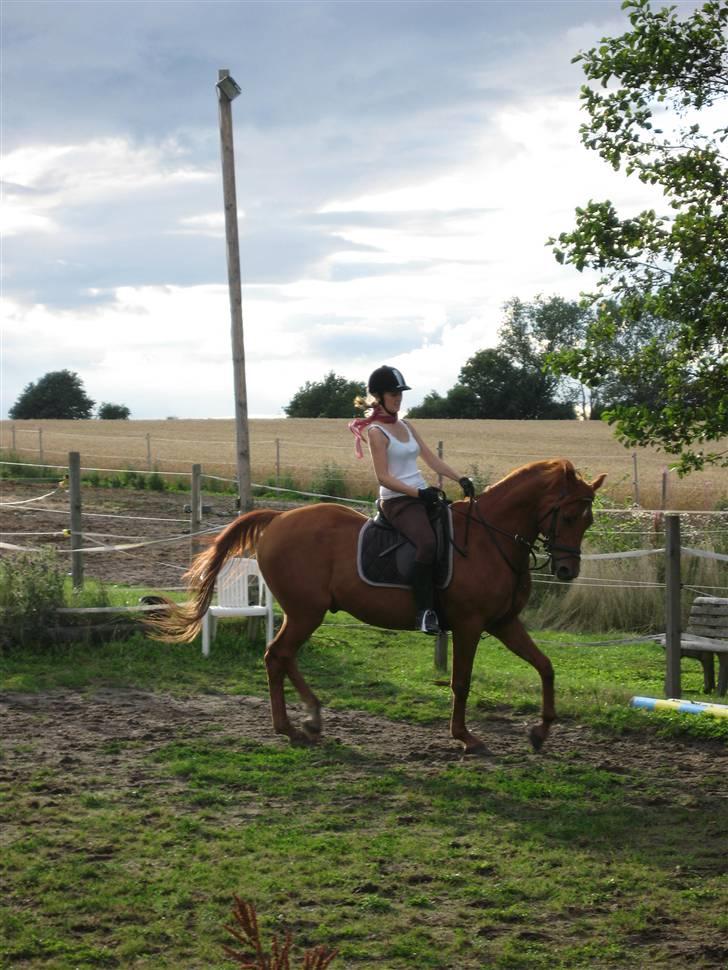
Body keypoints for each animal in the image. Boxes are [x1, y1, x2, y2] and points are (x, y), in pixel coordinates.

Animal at [148, 458, 604, 752]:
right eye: (567, 516)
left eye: (589, 520)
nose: (567, 570)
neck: (490, 539)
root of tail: (278, 518)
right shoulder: (471, 625)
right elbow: (461, 681)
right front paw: (465, 737)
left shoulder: (505, 622)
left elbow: (545, 666)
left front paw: (541, 731)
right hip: (307, 612)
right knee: (278, 655)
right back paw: (293, 727)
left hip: (304, 612)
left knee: (282, 657)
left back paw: (308, 719)